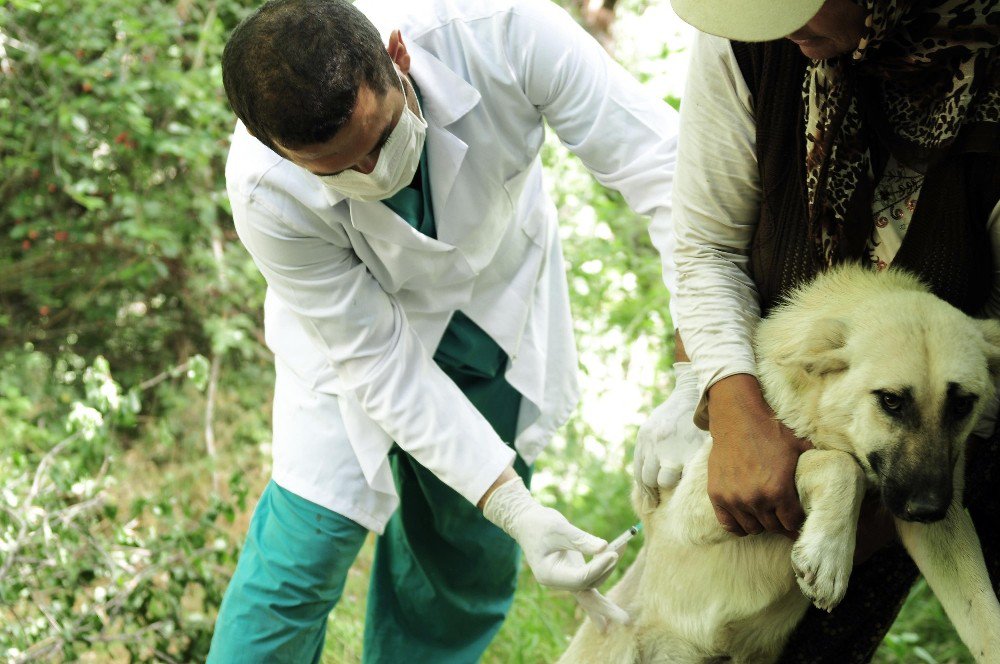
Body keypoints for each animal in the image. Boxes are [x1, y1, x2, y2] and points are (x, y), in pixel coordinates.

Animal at [560, 266, 1000, 664]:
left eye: (963, 404)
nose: (929, 509)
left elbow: (982, 614)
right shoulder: (700, 508)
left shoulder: (941, 532)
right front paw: (829, 553)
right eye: (891, 401)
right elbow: (838, 464)